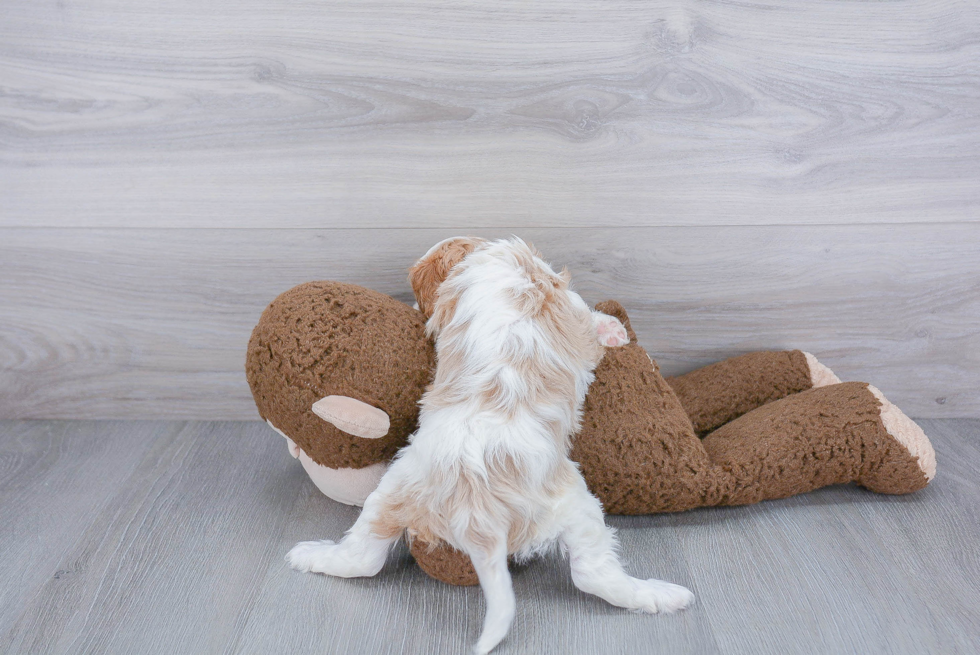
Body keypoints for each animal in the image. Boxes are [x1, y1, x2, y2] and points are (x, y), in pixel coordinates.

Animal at [288, 238, 692, 652]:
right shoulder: (565, 300)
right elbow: (588, 319)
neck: (484, 257)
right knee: (593, 575)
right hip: (573, 504)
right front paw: (612, 330)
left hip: (394, 490)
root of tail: (474, 513)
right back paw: (662, 595)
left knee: (364, 557)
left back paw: (309, 556)